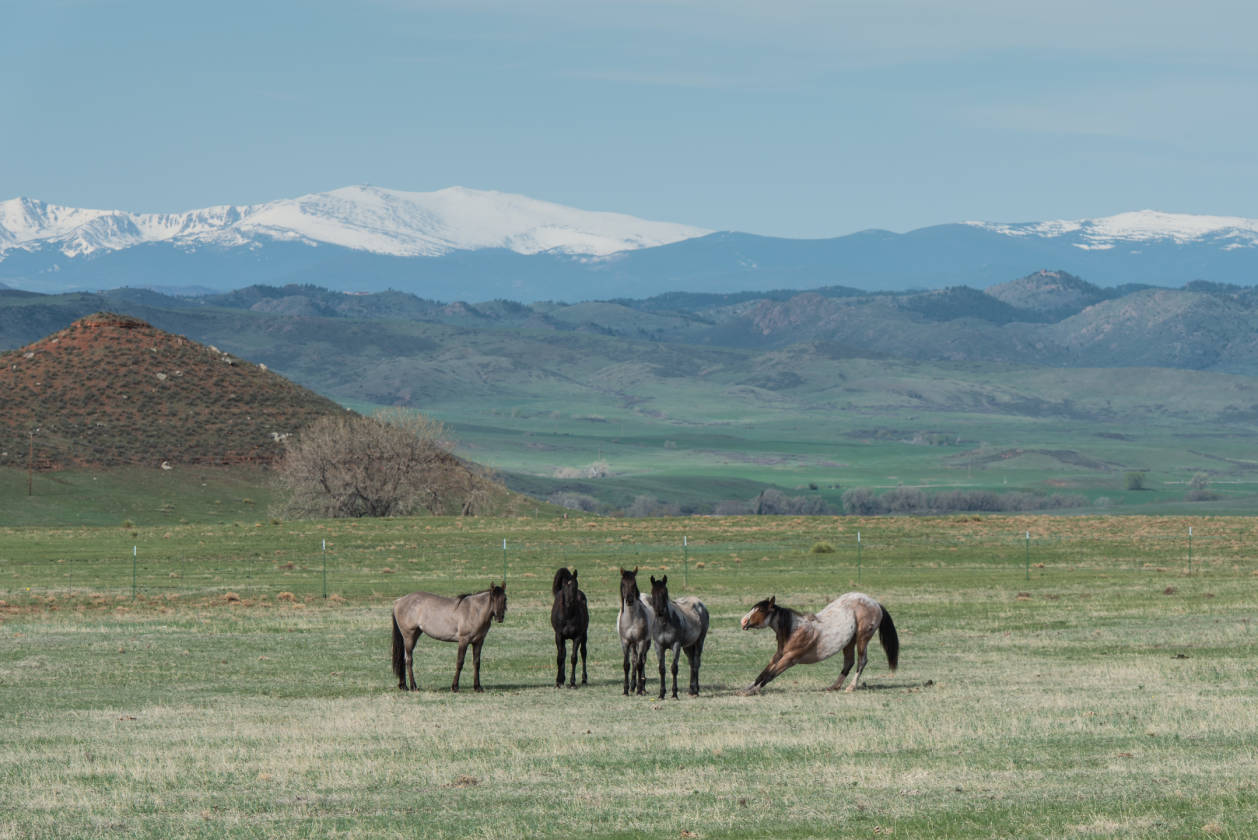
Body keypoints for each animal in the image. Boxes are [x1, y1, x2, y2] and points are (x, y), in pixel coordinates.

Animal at [617, 567, 653, 695]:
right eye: (623, 584)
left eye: (634, 584)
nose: (629, 600)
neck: (631, 619)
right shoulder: (625, 642)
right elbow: (627, 665)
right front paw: (626, 689)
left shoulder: (641, 641)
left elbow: (639, 664)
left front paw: (639, 690)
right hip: (633, 644)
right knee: (634, 660)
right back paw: (633, 686)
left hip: (646, 642)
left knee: (642, 660)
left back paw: (642, 686)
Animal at [737, 592, 898, 695]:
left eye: (760, 609)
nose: (743, 622)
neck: (795, 629)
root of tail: (875, 603)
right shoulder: (779, 655)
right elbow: (762, 674)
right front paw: (746, 689)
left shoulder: (790, 659)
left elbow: (770, 674)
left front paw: (753, 691)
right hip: (849, 642)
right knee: (849, 662)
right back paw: (834, 687)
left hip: (862, 638)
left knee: (861, 661)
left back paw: (850, 687)